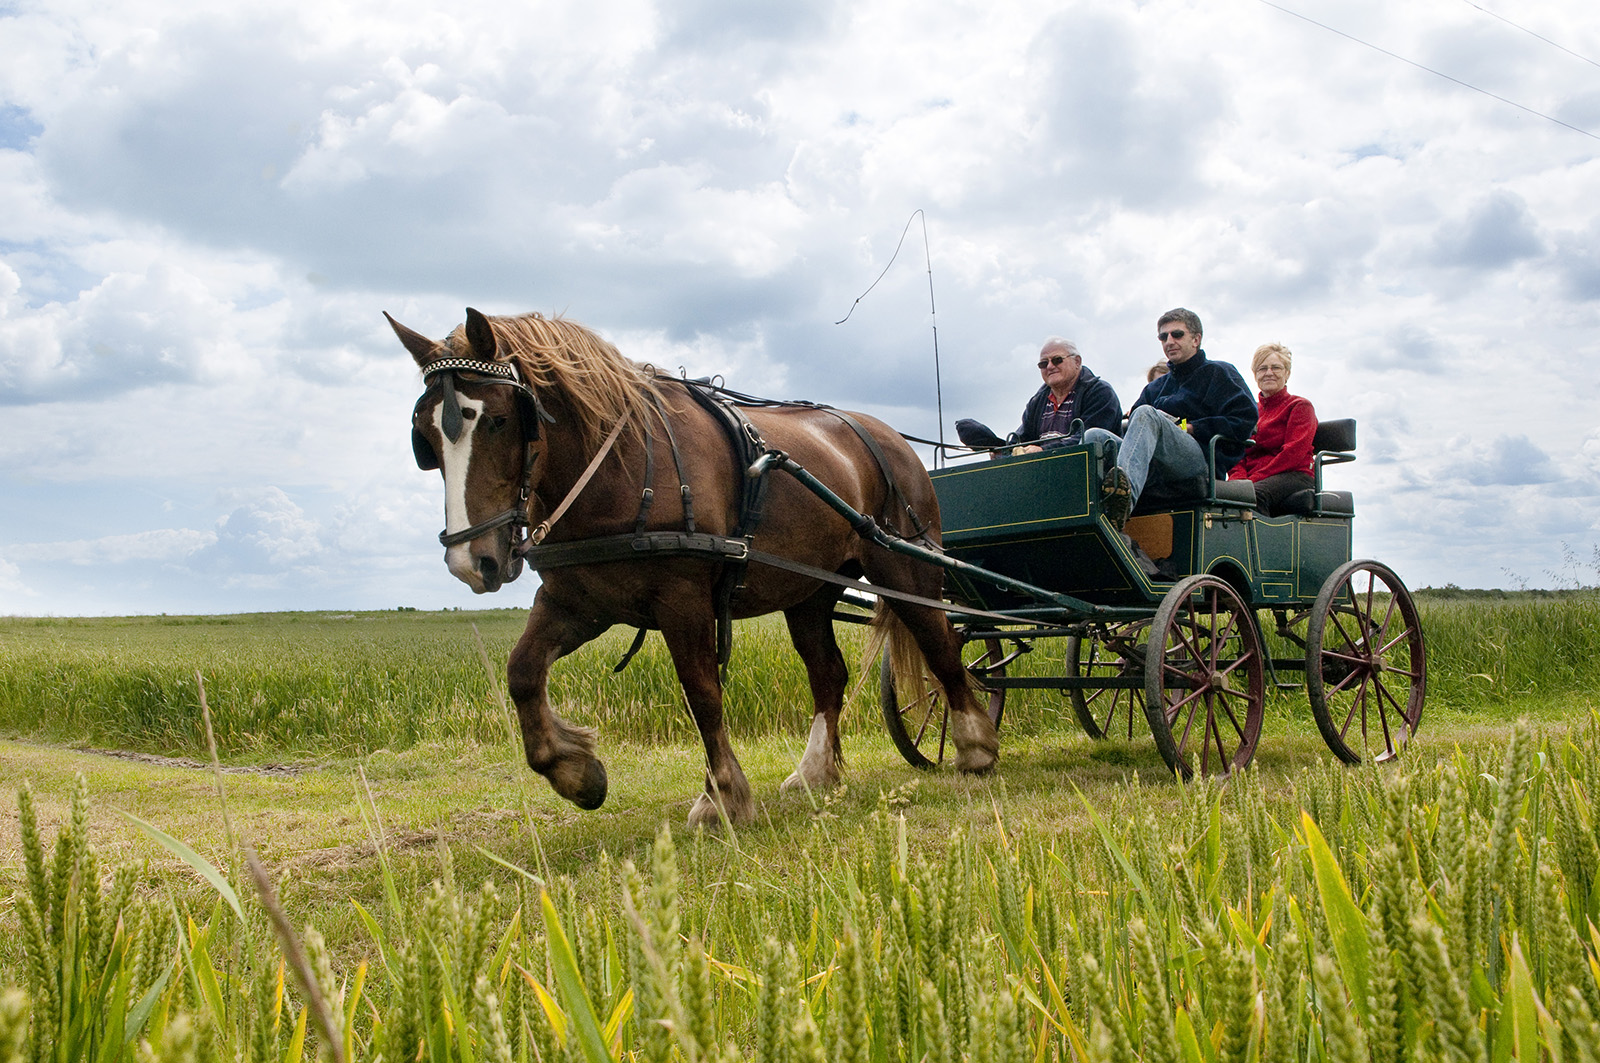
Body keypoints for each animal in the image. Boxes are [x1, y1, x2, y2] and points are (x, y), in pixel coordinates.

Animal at [396, 307, 998, 819]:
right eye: (424, 437)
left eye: (498, 420)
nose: (471, 561)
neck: (619, 466)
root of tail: (890, 437)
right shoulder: (579, 601)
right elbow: (521, 671)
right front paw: (576, 771)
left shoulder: (682, 599)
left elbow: (702, 692)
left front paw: (723, 796)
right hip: (808, 591)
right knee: (829, 671)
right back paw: (814, 772)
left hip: (905, 566)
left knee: (941, 643)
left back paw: (976, 745)